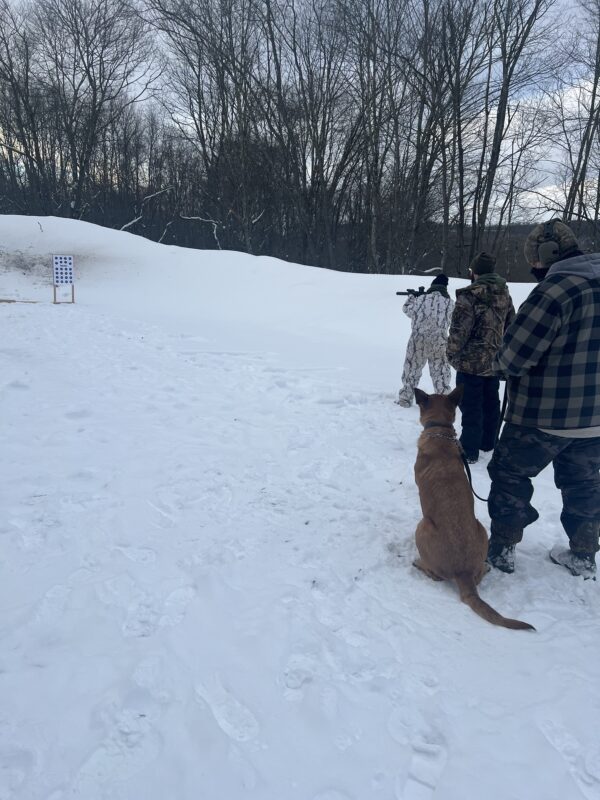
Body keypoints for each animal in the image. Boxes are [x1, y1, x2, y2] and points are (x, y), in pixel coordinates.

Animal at [412, 387, 534, 631]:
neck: (441, 431)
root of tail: (464, 572)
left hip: (423, 526)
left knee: (435, 574)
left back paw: (419, 564)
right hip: (481, 528)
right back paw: (485, 568)